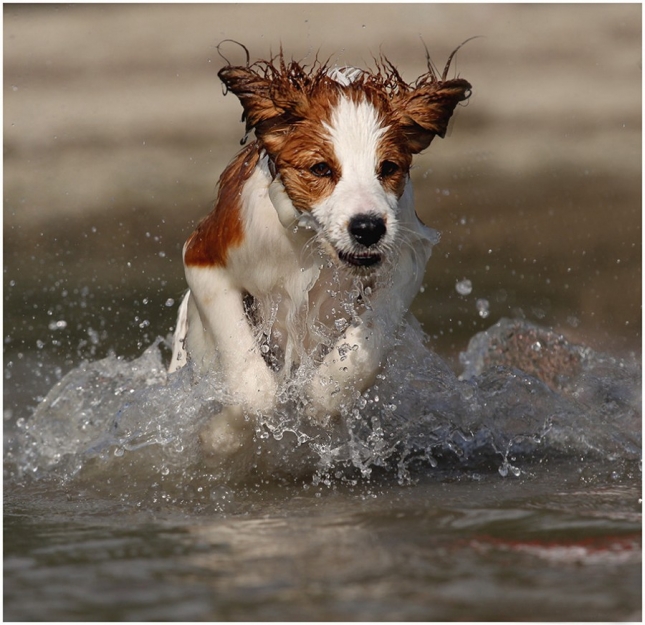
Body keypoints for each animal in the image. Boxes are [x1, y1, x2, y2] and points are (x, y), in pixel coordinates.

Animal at [167, 46, 468, 460]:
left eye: (388, 167)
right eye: (321, 168)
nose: (367, 228)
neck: (311, 244)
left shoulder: (405, 260)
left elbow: (368, 339)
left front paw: (323, 399)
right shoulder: (205, 256)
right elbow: (252, 382)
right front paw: (219, 436)